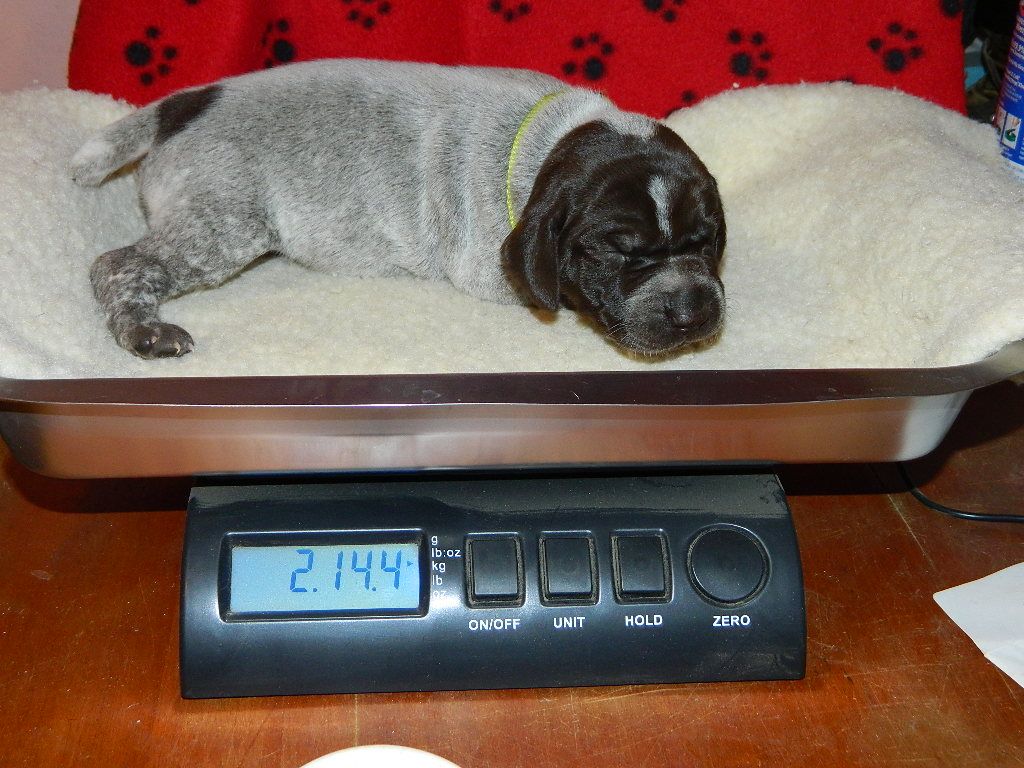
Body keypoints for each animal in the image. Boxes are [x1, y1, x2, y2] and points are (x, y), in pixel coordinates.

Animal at [71, 59, 726, 359]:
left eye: (707, 241)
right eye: (620, 252)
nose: (695, 310)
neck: (548, 139)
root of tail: (181, 106)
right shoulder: (490, 269)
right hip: (223, 224)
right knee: (117, 264)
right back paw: (143, 330)